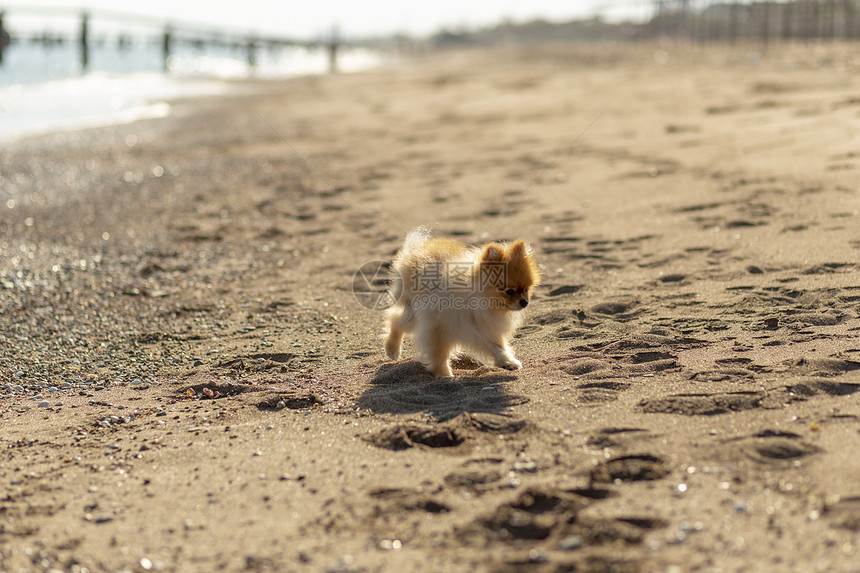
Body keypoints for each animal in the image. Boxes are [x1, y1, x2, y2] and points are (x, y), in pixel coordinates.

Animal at [384, 226, 540, 378]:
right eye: (510, 291)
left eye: (526, 289)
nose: (524, 302)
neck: (476, 302)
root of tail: (416, 247)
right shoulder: (440, 327)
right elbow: (439, 353)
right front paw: (443, 374)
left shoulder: (480, 326)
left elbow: (496, 347)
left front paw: (508, 362)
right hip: (415, 314)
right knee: (395, 320)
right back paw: (392, 350)